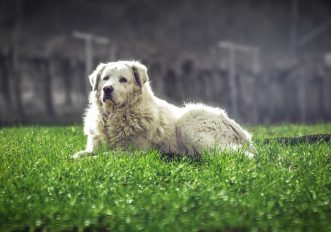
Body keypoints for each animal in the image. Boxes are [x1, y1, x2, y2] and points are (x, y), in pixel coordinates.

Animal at [72, 60, 254, 159]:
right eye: (105, 78)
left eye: (123, 79)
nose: (107, 89)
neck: (115, 116)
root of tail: (243, 134)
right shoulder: (94, 146)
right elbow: (80, 153)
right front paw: (76, 158)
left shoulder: (135, 152)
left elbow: (106, 155)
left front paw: (90, 160)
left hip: (188, 123)